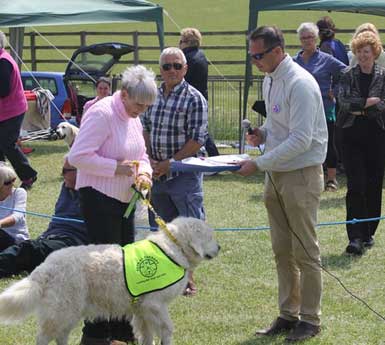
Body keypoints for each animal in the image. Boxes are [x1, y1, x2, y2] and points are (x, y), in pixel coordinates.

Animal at [0, 218, 219, 344]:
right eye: (210, 236)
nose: (219, 248)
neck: (173, 248)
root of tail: (45, 266)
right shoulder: (155, 305)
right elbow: (167, 331)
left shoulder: (143, 310)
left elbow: (147, 336)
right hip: (62, 310)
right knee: (44, 336)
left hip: (70, 311)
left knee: (61, 335)